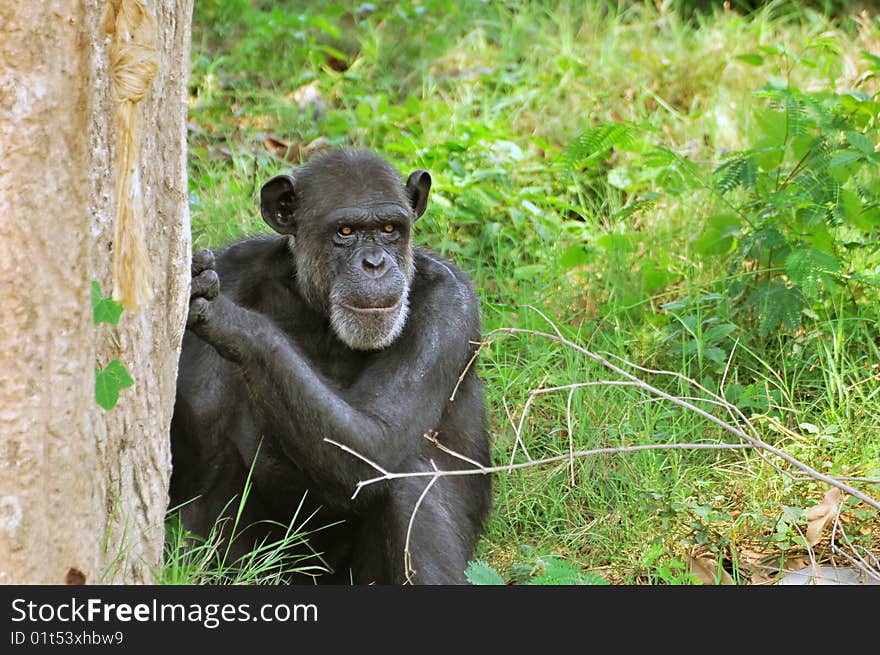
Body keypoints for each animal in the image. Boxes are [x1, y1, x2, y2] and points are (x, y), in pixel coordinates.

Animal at [168, 149, 492, 584]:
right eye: (345, 231)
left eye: (389, 228)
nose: (375, 263)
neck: (318, 310)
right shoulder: (233, 267)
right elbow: (197, 456)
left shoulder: (449, 306)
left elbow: (377, 441)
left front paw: (229, 319)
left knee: (406, 480)